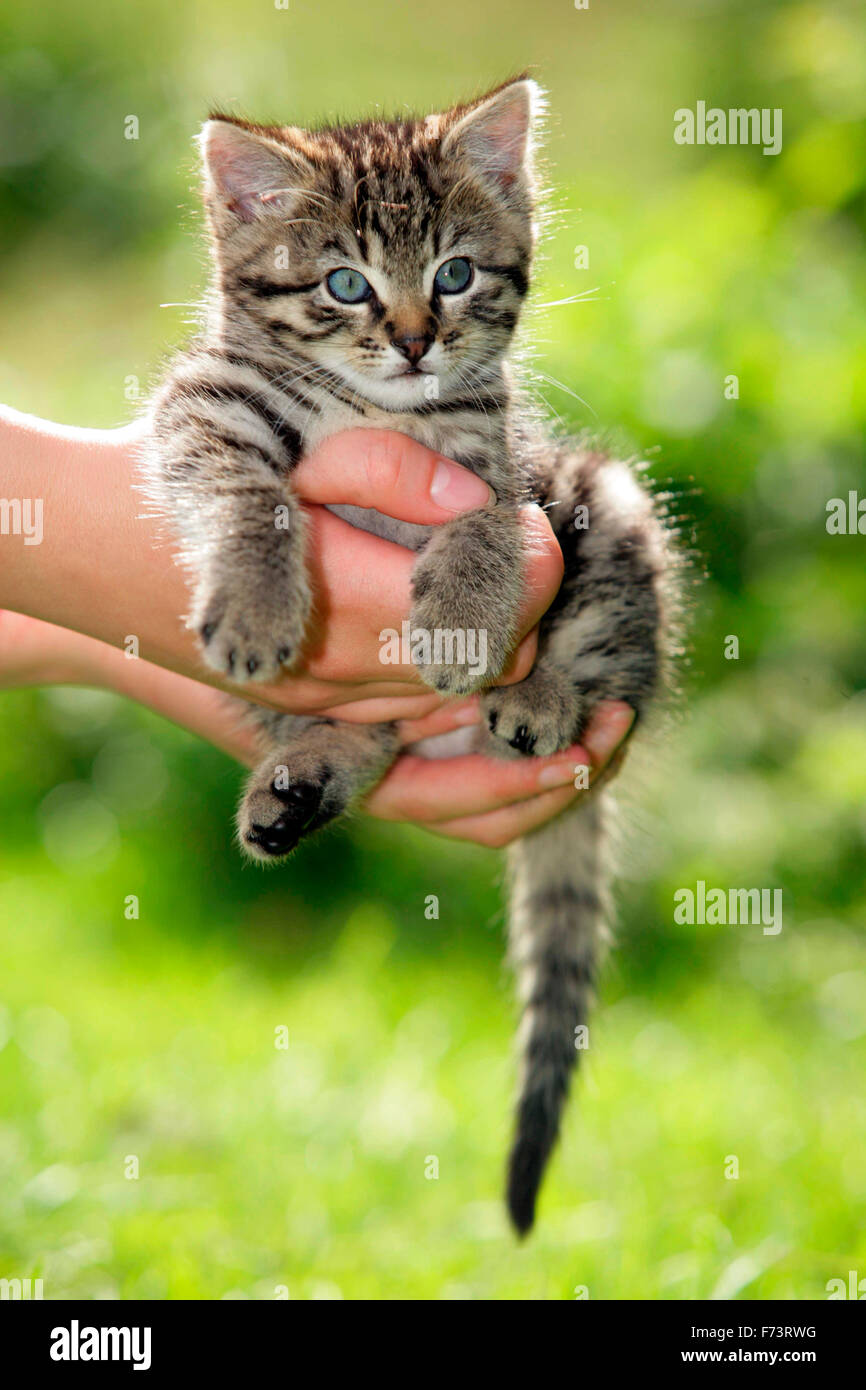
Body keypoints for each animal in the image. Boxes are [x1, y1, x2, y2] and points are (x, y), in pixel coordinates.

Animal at [145, 78, 678, 1228]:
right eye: (343, 283)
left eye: (454, 274)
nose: (414, 341)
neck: (373, 413)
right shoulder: (203, 404)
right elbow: (246, 493)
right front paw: (257, 600)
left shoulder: (502, 463)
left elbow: (492, 522)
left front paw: (467, 617)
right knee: (372, 741)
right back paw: (302, 780)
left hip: (611, 510)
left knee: (613, 656)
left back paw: (539, 698)